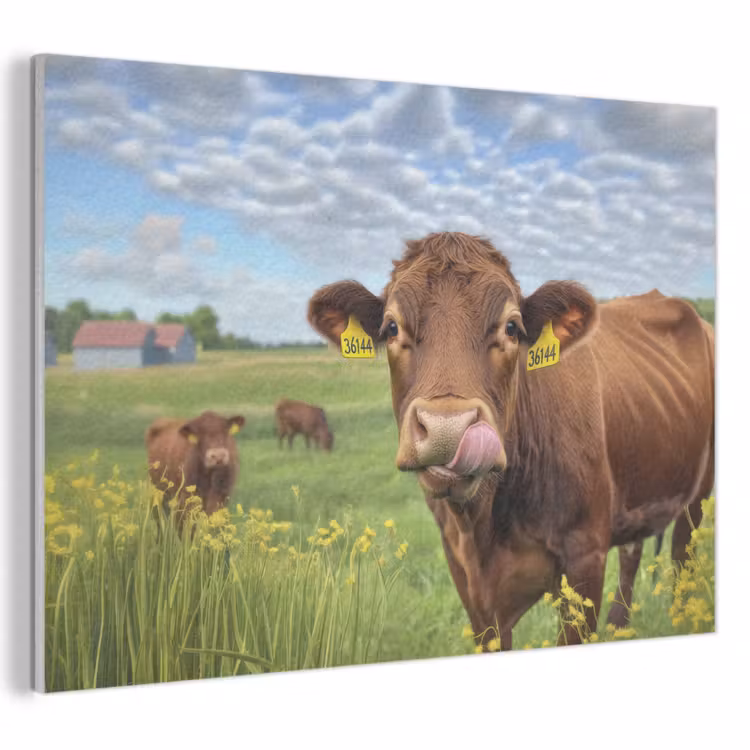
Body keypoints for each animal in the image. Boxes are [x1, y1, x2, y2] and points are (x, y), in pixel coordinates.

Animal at [307, 232, 714, 649]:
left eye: (512, 328)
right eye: (391, 327)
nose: (447, 428)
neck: (483, 525)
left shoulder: (585, 557)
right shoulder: (466, 576)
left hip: (697, 496)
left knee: (682, 554)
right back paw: (621, 625)